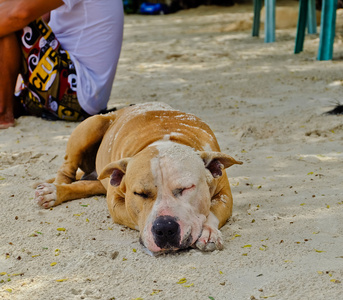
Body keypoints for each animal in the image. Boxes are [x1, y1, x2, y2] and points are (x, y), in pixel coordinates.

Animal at [35, 102, 242, 253]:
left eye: (186, 188)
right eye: (140, 194)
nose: (165, 228)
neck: (164, 139)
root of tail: (120, 110)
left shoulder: (225, 193)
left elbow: (212, 211)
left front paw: (209, 232)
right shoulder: (116, 201)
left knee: (86, 184)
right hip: (90, 127)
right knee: (66, 170)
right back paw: (54, 190)